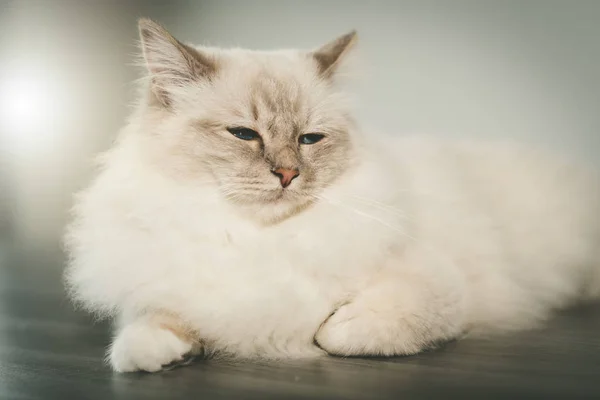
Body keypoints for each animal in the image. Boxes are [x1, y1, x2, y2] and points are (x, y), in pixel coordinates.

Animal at [63, 17, 596, 374]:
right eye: (244, 134)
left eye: (309, 140)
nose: (287, 174)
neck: (258, 239)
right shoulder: (166, 288)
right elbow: (145, 327)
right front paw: (156, 356)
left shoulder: (440, 287)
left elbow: (345, 332)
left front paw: (326, 331)